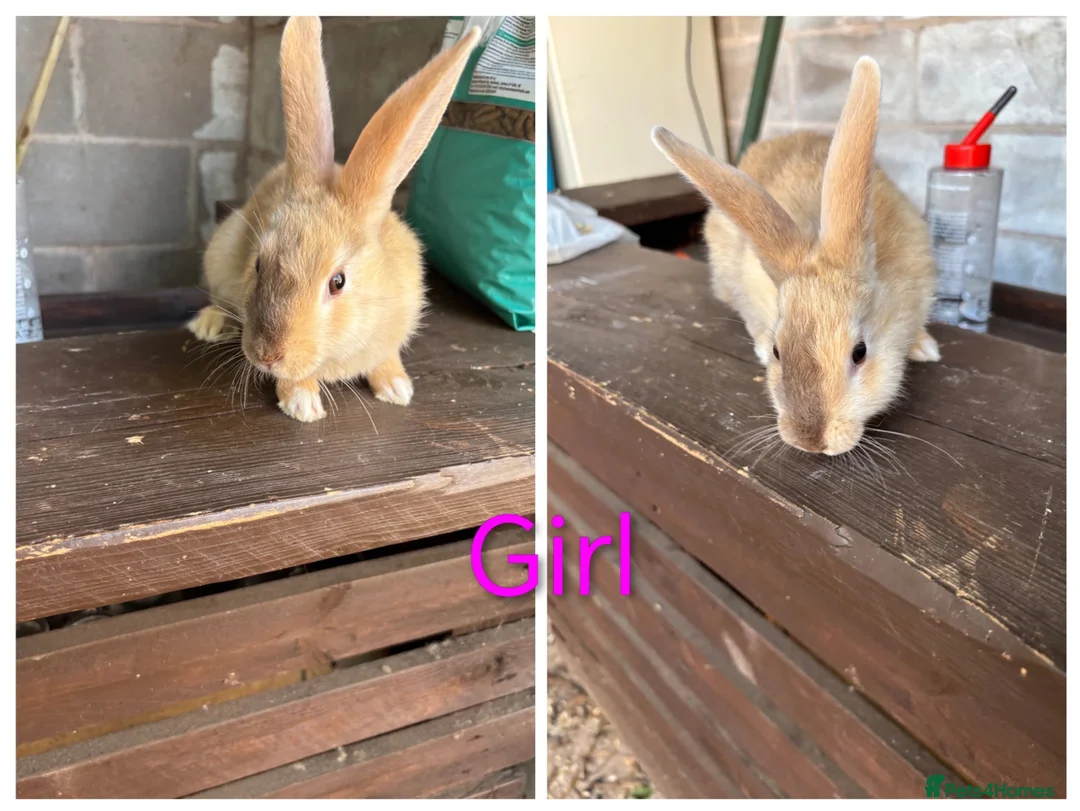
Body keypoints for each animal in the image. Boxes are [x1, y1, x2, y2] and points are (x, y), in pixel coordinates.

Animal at [187, 17, 482, 422]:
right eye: (259, 265)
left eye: (337, 282)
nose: (267, 356)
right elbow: (297, 379)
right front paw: (304, 405)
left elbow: (385, 359)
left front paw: (397, 389)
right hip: (220, 254)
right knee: (218, 298)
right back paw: (208, 324)